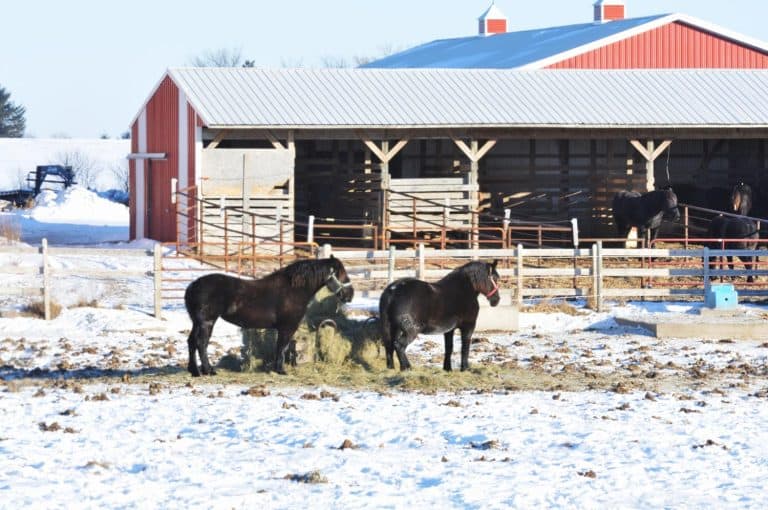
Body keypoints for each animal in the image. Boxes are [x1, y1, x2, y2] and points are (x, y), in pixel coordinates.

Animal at [184, 256, 356, 376]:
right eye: (341, 274)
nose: (350, 295)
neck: (293, 289)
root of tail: (193, 286)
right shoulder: (287, 327)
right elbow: (281, 347)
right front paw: (280, 370)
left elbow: (280, 347)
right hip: (207, 322)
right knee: (201, 344)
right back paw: (209, 370)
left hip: (197, 322)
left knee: (192, 342)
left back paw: (195, 371)